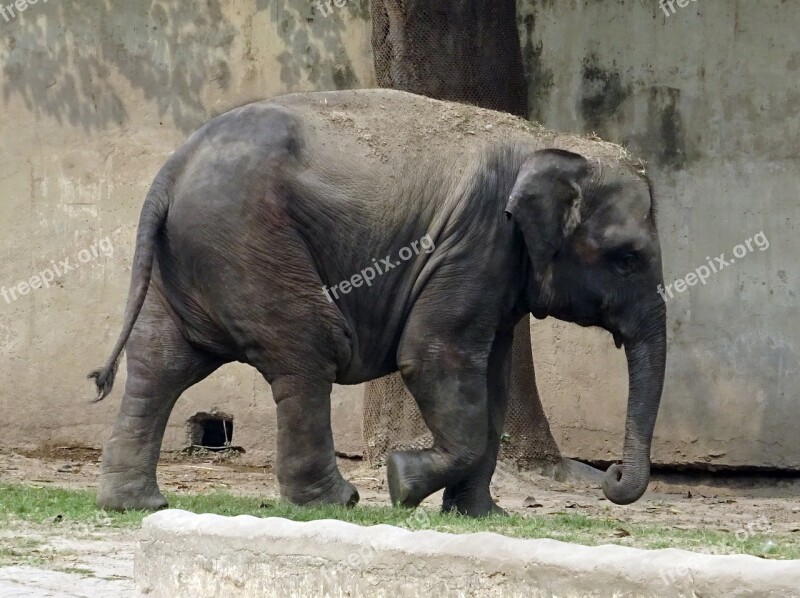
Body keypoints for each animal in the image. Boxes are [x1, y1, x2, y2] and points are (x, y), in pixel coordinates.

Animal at [87, 88, 664, 516]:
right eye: (626, 259)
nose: (611, 474)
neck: (549, 140)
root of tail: (171, 170)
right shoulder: (476, 241)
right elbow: (433, 356)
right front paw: (401, 482)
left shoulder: (499, 268)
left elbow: (492, 382)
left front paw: (481, 515)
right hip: (247, 242)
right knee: (307, 351)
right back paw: (335, 502)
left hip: (188, 257)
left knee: (161, 362)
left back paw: (136, 505)